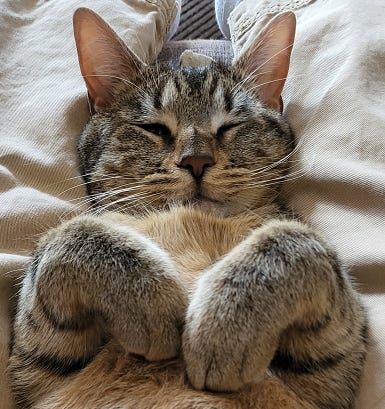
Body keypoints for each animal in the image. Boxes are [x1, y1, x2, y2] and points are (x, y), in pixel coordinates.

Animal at [6, 7, 366, 408]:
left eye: (230, 126)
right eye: (154, 128)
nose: (196, 160)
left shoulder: (334, 367)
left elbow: (294, 241)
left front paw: (225, 325)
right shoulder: (36, 364)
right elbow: (74, 233)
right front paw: (150, 303)